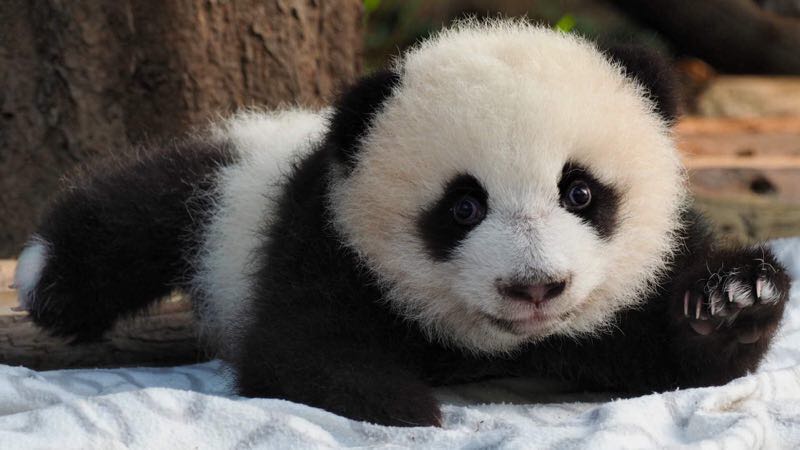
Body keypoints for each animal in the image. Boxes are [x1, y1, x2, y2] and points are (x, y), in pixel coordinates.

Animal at [13, 21, 790, 427]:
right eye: (463, 207)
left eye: (580, 193)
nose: (535, 287)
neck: (509, 344)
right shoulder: (326, 240)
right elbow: (299, 349)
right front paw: (401, 403)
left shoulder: (647, 269)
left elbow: (678, 358)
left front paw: (732, 298)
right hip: (235, 196)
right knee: (154, 201)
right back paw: (43, 275)